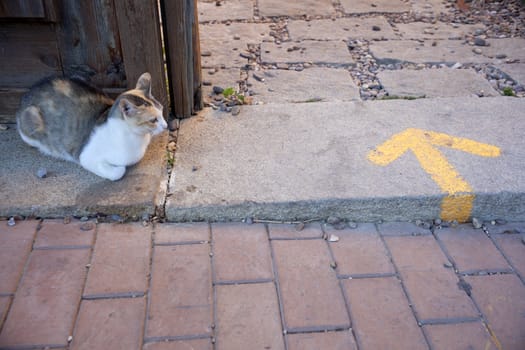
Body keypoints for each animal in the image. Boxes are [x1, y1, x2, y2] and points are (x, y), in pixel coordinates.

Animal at [16, 71, 167, 180]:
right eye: (153, 120)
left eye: (162, 111)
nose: (165, 126)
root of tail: (28, 93)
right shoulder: (85, 156)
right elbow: (118, 172)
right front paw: (119, 168)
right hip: (31, 118)